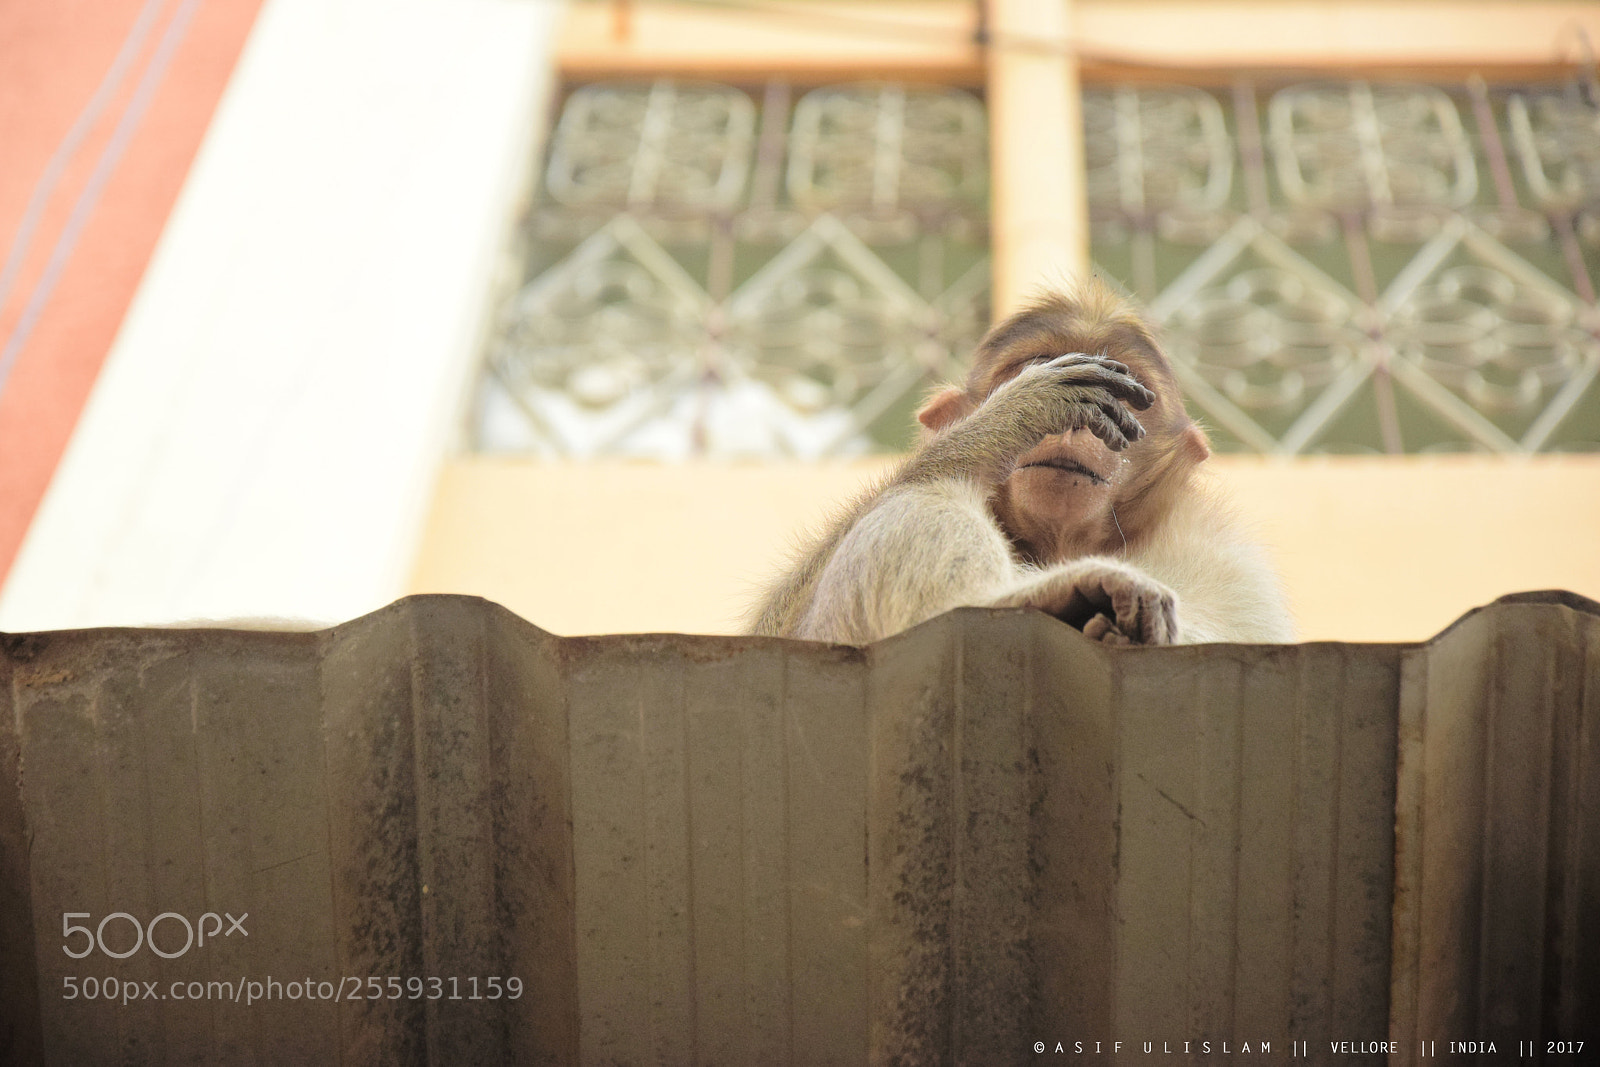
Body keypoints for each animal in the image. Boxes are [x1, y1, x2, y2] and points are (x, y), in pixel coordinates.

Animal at [746, 280, 1294, 646]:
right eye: (1030, 364)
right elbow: (775, 629)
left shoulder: (1233, 567)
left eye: (1136, 396)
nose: (1076, 430)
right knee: (925, 497)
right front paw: (1015, 414)